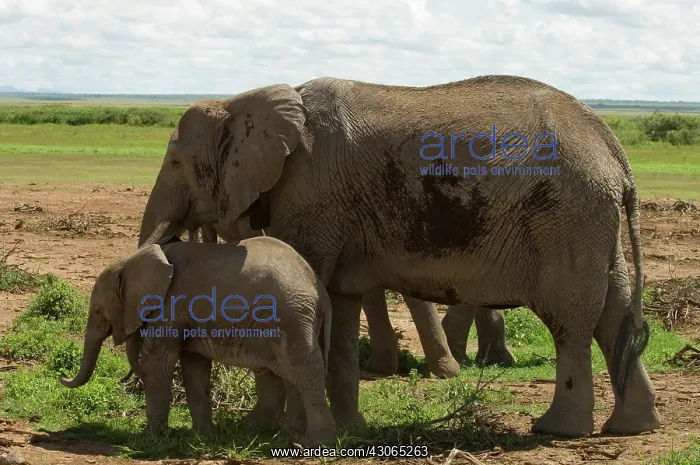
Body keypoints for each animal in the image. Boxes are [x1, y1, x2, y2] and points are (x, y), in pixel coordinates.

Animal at [59, 237, 336, 447]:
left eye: (97, 310)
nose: (62, 374)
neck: (135, 259)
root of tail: (320, 290)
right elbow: (194, 366)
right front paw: (202, 438)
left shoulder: (171, 305)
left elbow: (158, 362)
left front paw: (147, 439)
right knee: (288, 375)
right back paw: (285, 436)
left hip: (291, 319)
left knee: (304, 372)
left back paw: (313, 444)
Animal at [136, 75, 661, 438]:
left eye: (177, 162)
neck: (246, 98)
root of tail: (615, 152)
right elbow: (338, 306)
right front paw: (349, 431)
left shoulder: (312, 193)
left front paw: (262, 430)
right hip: (590, 215)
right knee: (613, 311)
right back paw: (632, 427)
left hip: (565, 212)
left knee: (569, 318)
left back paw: (557, 430)